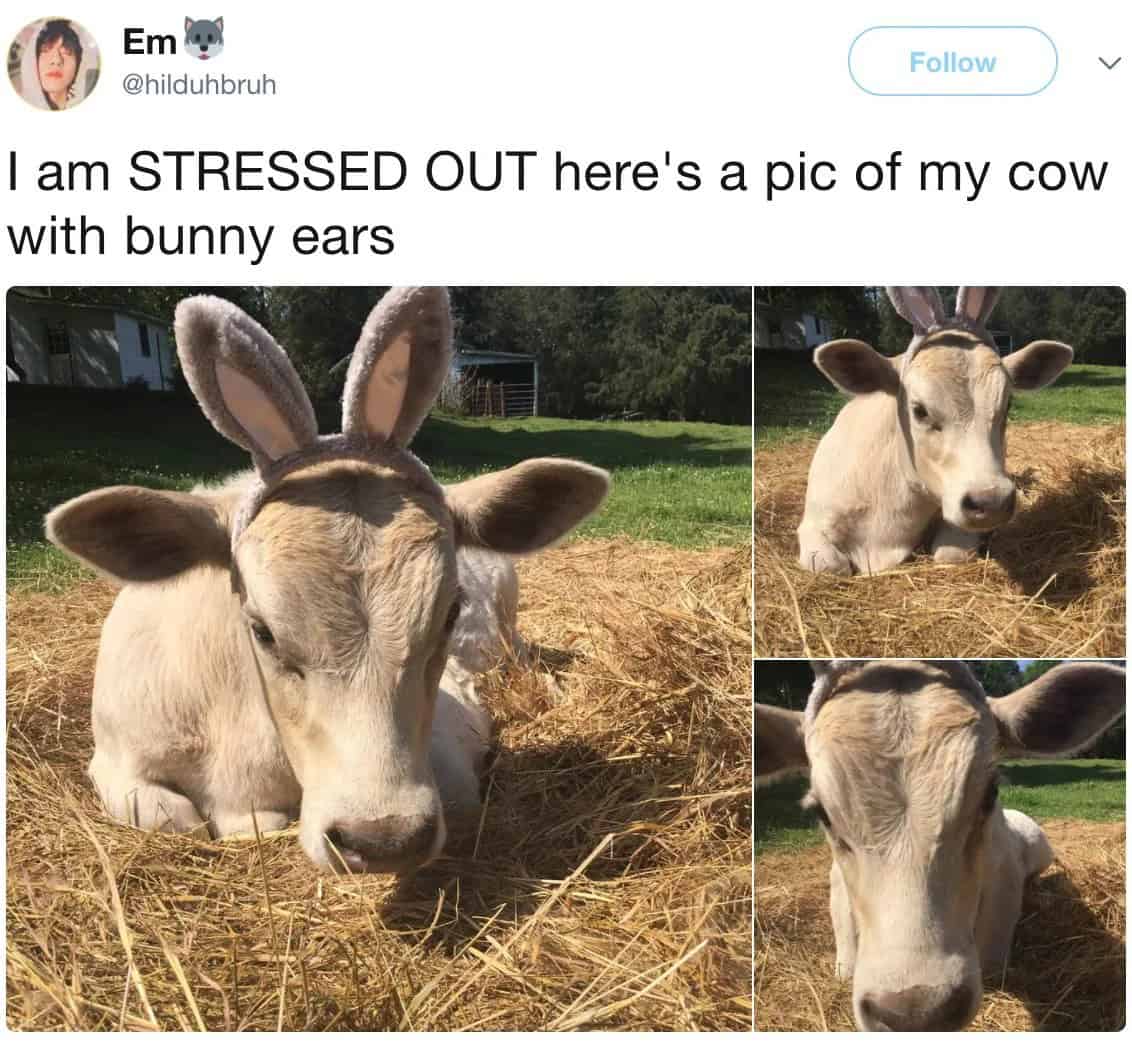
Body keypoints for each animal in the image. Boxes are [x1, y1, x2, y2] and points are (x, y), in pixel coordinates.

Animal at [45, 287, 610, 875]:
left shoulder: (454, 734)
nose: (383, 839)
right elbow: (173, 817)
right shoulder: (114, 756)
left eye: (450, 613)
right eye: (262, 630)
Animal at [798, 287, 1073, 574]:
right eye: (919, 410)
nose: (992, 502)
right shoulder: (813, 524)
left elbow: (950, 553)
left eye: (1008, 404)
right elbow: (832, 566)